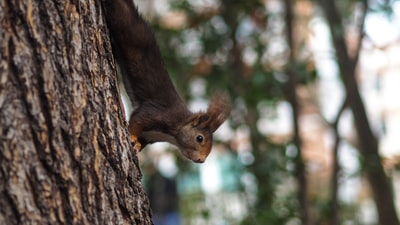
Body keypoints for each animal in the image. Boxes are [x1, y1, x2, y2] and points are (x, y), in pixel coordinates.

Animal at [103, 0, 230, 163]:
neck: (173, 134)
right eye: (199, 138)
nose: (201, 160)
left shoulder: (149, 136)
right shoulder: (159, 114)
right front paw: (131, 137)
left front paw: (136, 145)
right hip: (121, 20)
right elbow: (137, 120)